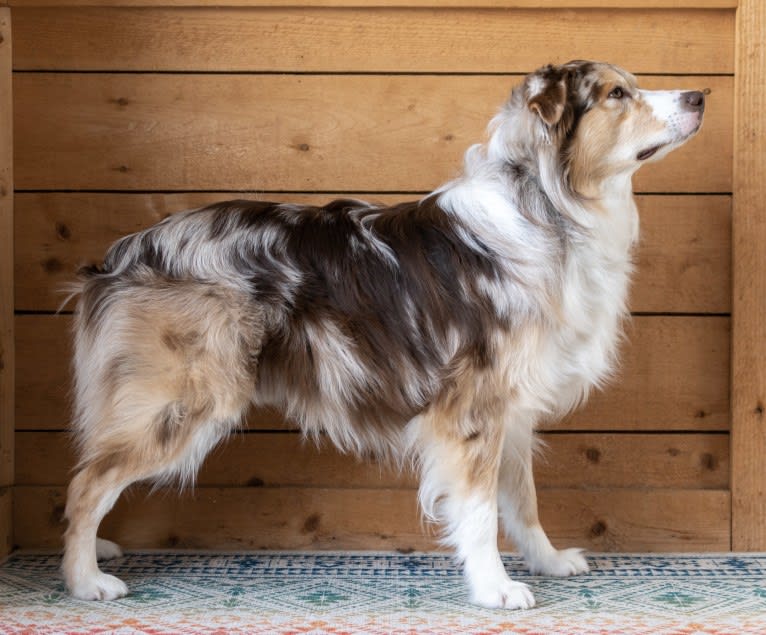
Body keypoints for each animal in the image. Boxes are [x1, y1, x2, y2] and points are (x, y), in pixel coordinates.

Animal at [61, 60, 708, 612]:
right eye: (617, 94)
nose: (701, 95)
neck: (548, 205)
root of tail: (126, 252)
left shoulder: (514, 406)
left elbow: (522, 499)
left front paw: (547, 561)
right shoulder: (472, 409)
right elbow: (478, 510)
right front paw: (495, 588)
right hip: (186, 401)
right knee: (86, 483)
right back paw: (84, 577)